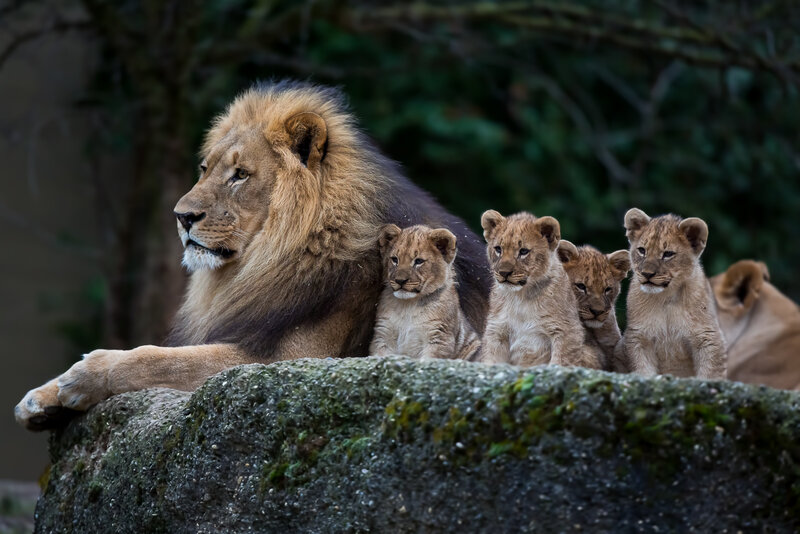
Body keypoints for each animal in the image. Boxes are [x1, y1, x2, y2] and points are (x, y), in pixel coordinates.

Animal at [370, 224, 481, 360]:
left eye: (418, 261)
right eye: (395, 259)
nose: (400, 281)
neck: (408, 305)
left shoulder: (439, 338)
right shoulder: (383, 335)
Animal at [479, 210, 601, 369]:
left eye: (523, 251)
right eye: (498, 249)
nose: (504, 273)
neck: (521, 297)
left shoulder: (567, 331)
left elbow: (560, 362)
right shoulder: (497, 331)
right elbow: (490, 361)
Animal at [618, 208, 726, 379]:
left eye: (668, 254)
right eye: (642, 250)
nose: (647, 274)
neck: (666, 297)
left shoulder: (708, 337)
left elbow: (710, 374)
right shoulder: (639, 337)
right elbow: (644, 370)